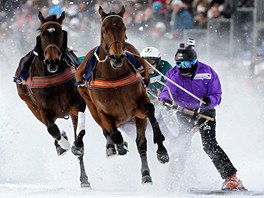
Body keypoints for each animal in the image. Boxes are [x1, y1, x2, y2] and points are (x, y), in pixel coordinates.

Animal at [14, 11, 91, 188]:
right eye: (42, 33)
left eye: (60, 33)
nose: (52, 61)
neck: (51, 75)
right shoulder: (42, 108)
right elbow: (52, 129)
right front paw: (63, 144)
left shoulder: (76, 103)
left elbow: (80, 132)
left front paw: (77, 146)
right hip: (29, 103)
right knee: (50, 127)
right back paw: (61, 144)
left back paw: (84, 178)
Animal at [76, 5, 169, 184]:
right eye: (103, 29)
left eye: (124, 28)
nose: (117, 57)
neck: (114, 78)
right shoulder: (102, 111)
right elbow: (113, 132)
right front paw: (118, 145)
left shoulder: (139, 105)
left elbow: (149, 114)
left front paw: (161, 153)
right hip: (90, 105)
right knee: (107, 131)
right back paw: (112, 147)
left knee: (140, 140)